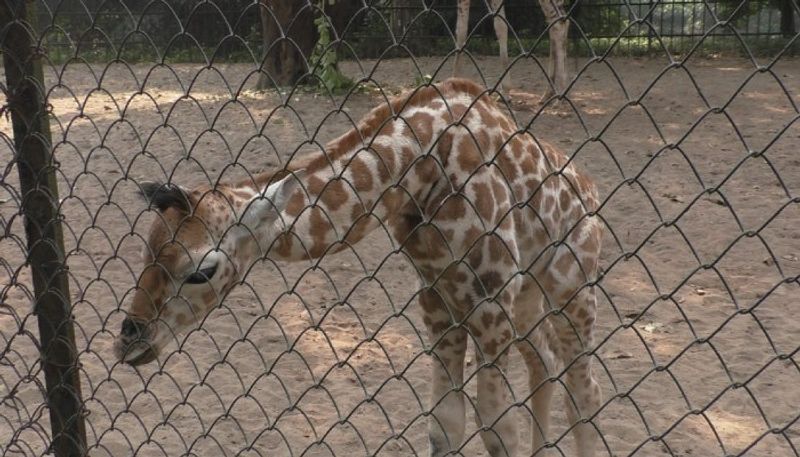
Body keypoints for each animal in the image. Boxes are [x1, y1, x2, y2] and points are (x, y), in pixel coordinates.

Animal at [112, 78, 600, 456]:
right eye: (145, 252)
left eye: (202, 270)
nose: (129, 342)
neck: (421, 169)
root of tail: (590, 190)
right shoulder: (439, 300)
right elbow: (445, 425)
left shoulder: (489, 303)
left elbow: (499, 431)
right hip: (528, 295)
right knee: (545, 363)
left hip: (572, 286)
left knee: (585, 390)